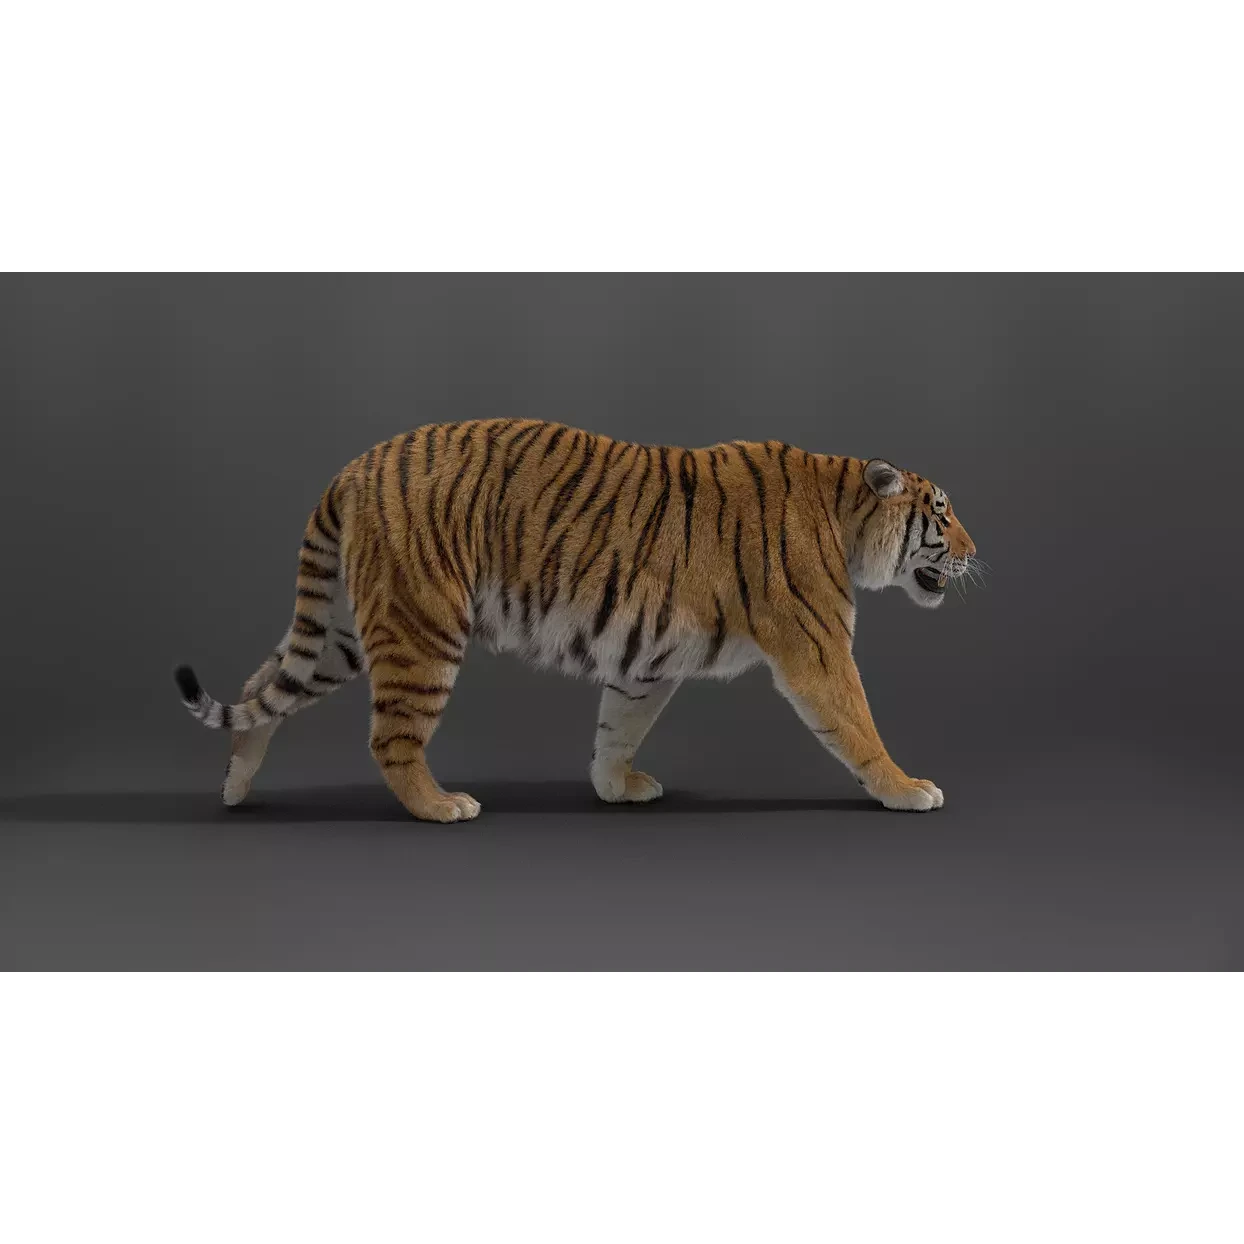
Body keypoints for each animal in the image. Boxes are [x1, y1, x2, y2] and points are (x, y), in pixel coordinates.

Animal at [174, 419, 978, 821]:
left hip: (345, 628)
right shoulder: (817, 648)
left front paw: (616, 787)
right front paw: (909, 789)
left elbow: (618, 727)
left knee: (265, 685)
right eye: (941, 512)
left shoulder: (649, 659)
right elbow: (857, 725)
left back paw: (237, 786)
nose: (976, 550)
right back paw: (441, 806)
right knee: (390, 736)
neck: (844, 511)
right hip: (421, 623)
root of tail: (354, 467)